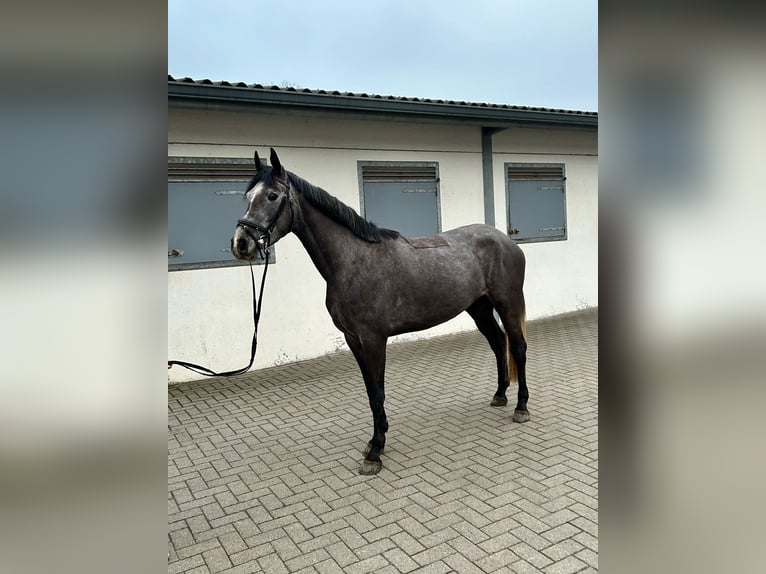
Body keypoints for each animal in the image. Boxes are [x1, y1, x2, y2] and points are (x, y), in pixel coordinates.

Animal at [232, 148, 528, 476]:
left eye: (272, 196)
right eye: (248, 196)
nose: (241, 243)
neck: (352, 261)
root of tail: (506, 240)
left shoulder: (374, 339)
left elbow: (377, 393)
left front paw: (375, 452)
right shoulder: (353, 339)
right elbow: (371, 390)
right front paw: (376, 440)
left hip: (508, 303)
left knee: (517, 346)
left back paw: (521, 407)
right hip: (479, 307)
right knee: (498, 342)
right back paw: (500, 395)